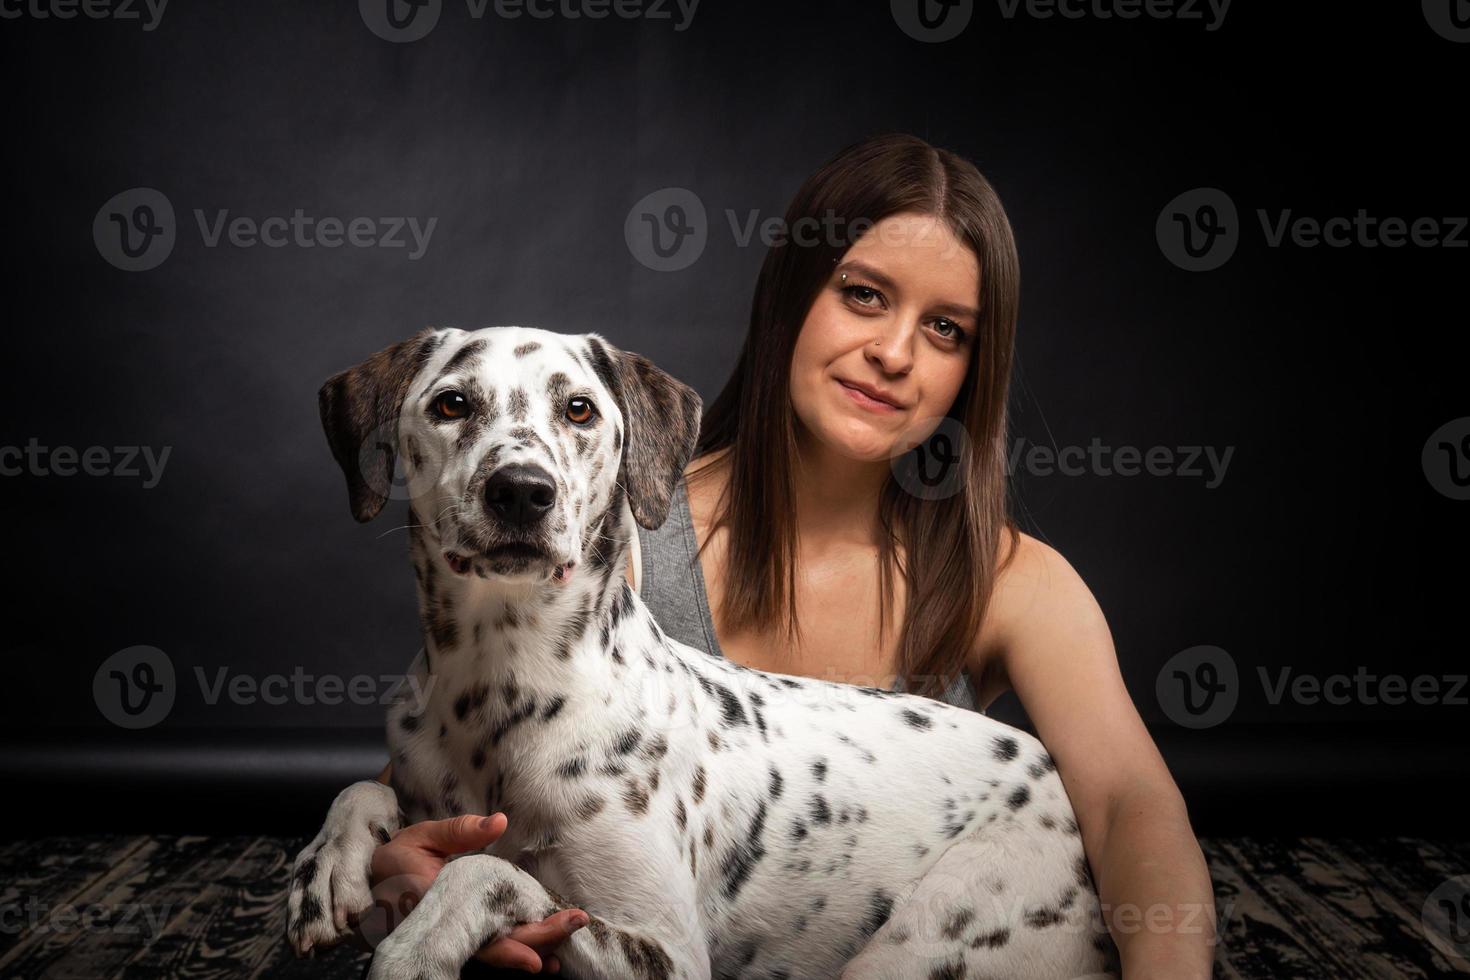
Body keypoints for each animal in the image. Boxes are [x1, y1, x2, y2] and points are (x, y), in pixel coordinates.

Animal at [283, 326, 1111, 975]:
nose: (521, 490)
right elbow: (365, 790)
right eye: (451, 403)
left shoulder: (666, 952)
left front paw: (418, 946)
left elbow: (493, 870)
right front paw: (328, 866)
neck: (500, 682)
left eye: (578, 408)